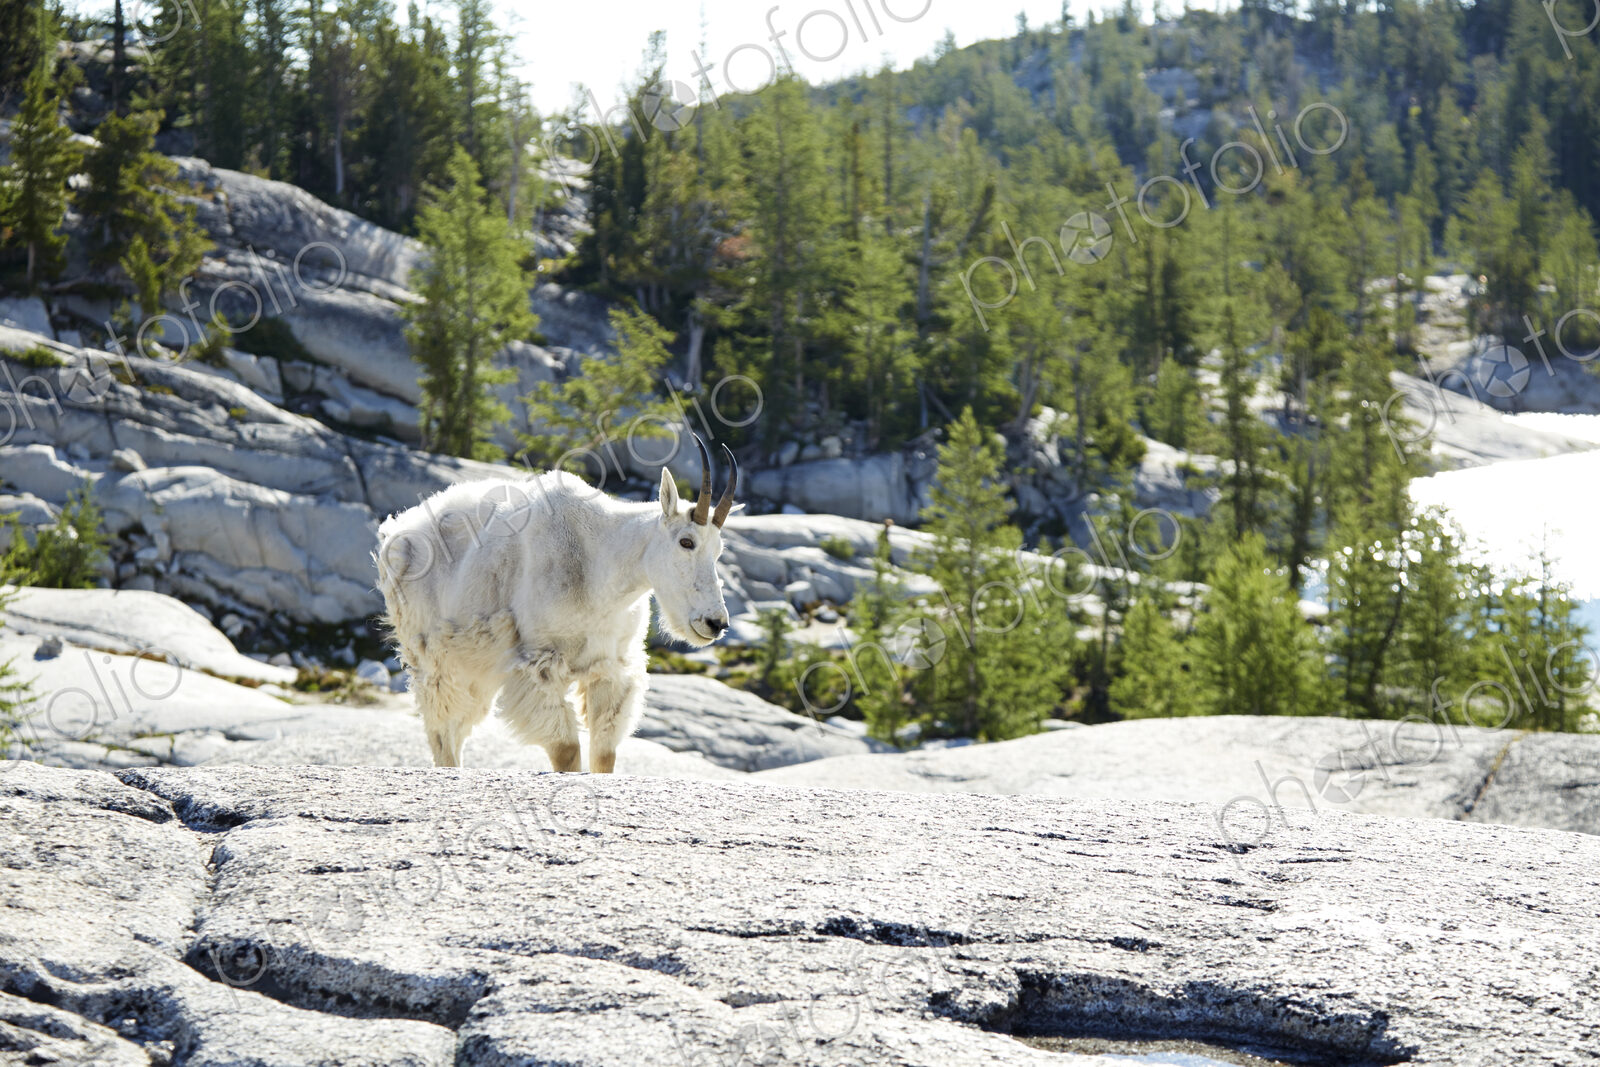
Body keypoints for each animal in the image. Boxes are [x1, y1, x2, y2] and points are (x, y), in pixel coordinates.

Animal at [375, 436, 738, 772]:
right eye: (686, 542)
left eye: (719, 550)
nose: (716, 623)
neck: (600, 568)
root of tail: (397, 532)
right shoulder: (539, 662)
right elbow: (566, 751)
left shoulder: (609, 666)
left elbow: (604, 754)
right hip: (431, 656)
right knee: (441, 729)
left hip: (475, 667)